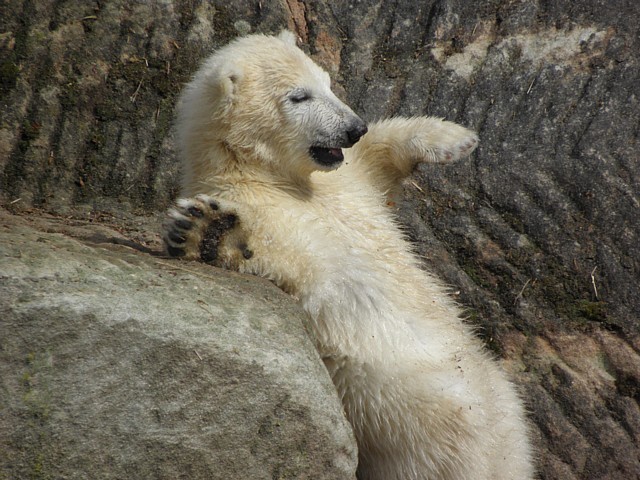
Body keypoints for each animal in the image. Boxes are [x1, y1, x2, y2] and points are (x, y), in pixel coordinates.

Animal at [163, 31, 534, 480]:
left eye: (326, 83)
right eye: (299, 96)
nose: (352, 127)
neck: (267, 173)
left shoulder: (349, 182)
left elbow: (376, 160)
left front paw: (455, 138)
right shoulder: (251, 200)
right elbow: (290, 257)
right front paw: (208, 231)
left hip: (503, 399)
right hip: (408, 420)